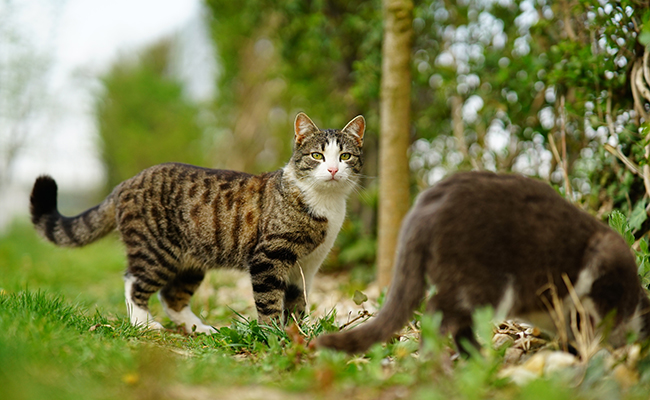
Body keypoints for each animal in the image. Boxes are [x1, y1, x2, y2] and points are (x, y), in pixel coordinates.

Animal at [30, 111, 362, 332]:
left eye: (345, 156)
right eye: (317, 156)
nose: (333, 170)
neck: (326, 203)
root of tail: (126, 182)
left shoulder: (305, 269)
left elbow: (297, 306)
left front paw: (297, 336)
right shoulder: (268, 259)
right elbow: (269, 303)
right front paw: (273, 337)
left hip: (191, 261)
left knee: (171, 296)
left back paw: (199, 328)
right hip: (156, 252)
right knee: (133, 281)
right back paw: (144, 323)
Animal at [316, 172, 648, 354]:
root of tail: (425, 205)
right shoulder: (604, 273)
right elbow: (596, 322)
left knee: (453, 323)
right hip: (486, 282)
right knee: (437, 313)